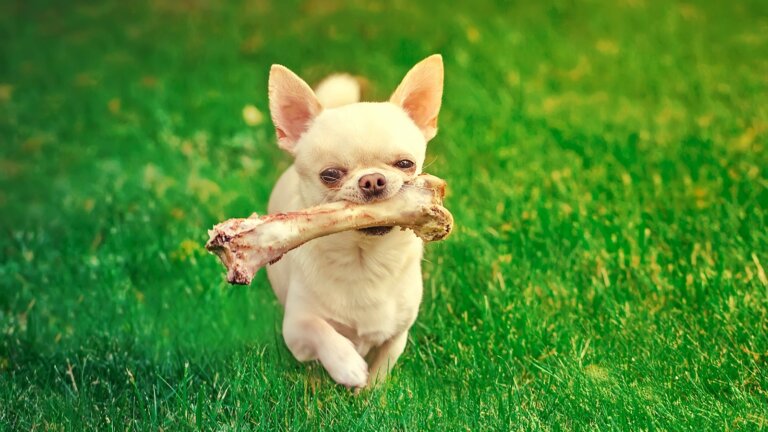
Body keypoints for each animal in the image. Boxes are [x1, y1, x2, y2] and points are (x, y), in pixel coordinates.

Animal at [264, 54, 444, 388]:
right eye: (330, 175)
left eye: (406, 164)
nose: (372, 180)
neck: (365, 260)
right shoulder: (295, 330)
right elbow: (319, 328)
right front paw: (346, 365)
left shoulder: (397, 334)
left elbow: (382, 369)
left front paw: (370, 394)